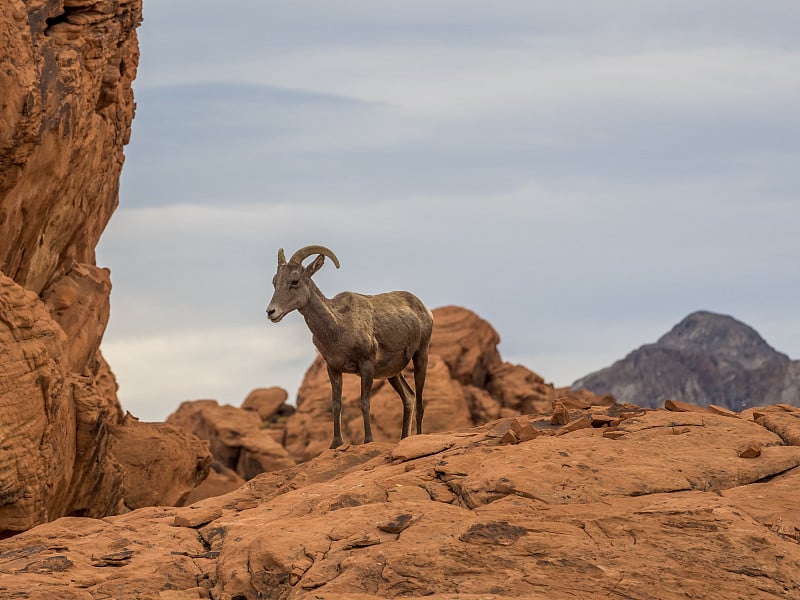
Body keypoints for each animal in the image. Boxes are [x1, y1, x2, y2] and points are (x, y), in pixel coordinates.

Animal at [268, 246, 432, 448]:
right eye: (275, 282)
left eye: (294, 281)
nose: (271, 312)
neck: (339, 327)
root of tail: (425, 310)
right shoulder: (333, 368)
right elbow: (336, 404)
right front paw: (336, 443)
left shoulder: (366, 365)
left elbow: (364, 403)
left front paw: (368, 440)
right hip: (392, 373)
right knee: (409, 397)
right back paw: (403, 438)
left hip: (421, 356)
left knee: (420, 402)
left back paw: (418, 437)